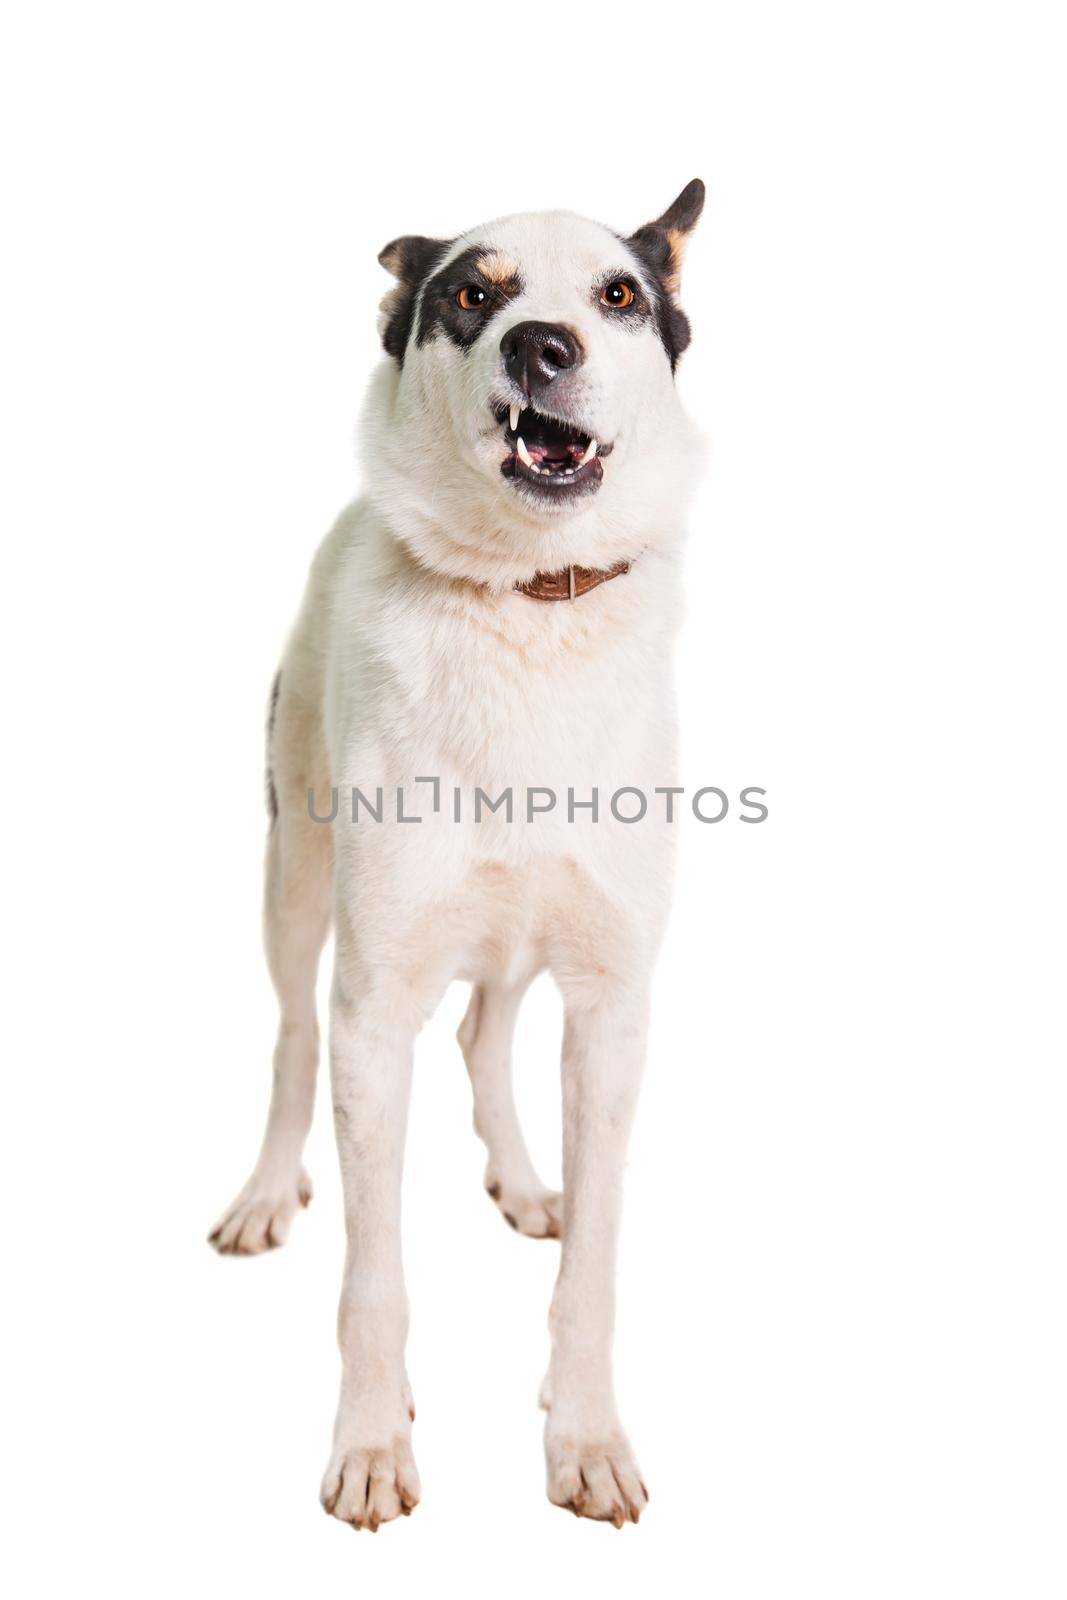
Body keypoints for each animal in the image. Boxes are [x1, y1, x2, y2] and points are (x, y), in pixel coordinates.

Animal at [207, 181, 710, 1529]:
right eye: (471, 295)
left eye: (617, 294)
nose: (542, 345)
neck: (525, 604)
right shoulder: (374, 1008)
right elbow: (371, 1273)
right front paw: (372, 1445)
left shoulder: (612, 1005)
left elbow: (593, 1261)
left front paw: (585, 1437)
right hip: (294, 882)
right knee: (289, 1035)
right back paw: (264, 1193)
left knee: (487, 1033)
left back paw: (525, 1181)